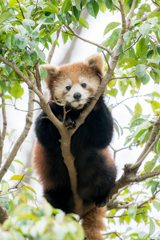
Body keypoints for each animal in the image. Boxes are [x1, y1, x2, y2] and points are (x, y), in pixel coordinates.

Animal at [32, 54, 116, 240]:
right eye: (68, 87)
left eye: (84, 84)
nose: (77, 95)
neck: (76, 112)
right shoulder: (48, 112)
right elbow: (44, 134)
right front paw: (65, 121)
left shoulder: (96, 127)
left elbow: (103, 136)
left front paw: (96, 102)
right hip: (54, 184)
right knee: (55, 199)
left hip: (99, 167)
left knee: (105, 172)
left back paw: (101, 196)